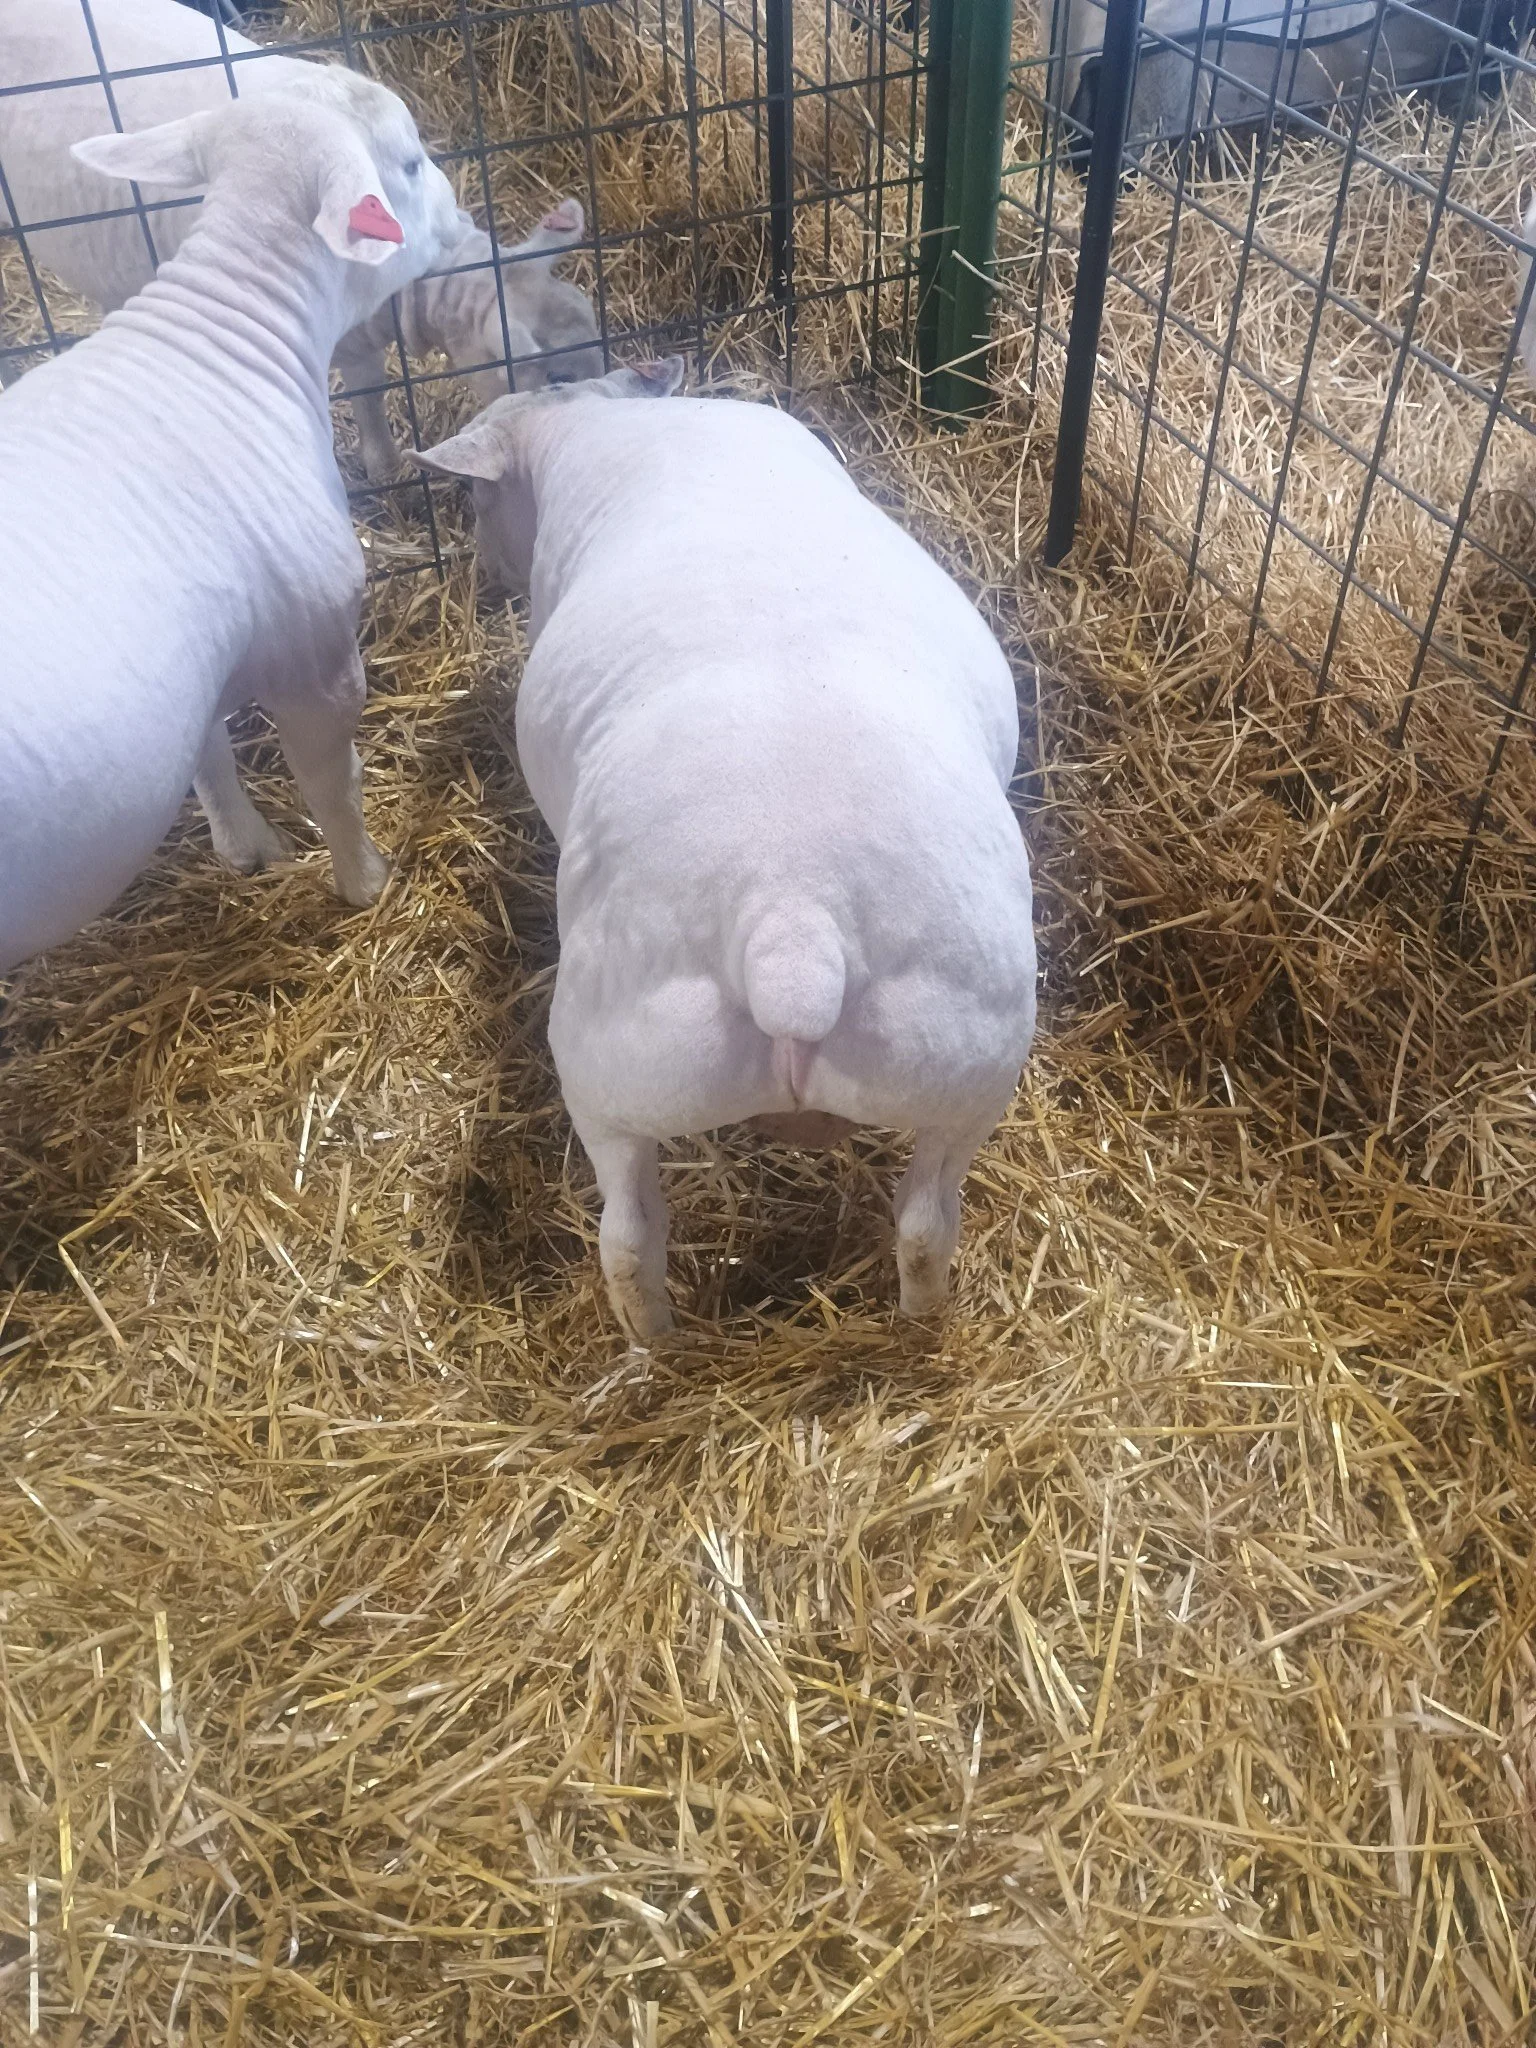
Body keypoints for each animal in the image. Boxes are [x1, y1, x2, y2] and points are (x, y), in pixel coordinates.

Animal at [0, 73, 463, 972]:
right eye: (411, 163)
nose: (462, 218)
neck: (226, 324)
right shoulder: (317, 656)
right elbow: (331, 784)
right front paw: (365, 879)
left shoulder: (197, 666)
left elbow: (209, 752)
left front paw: (246, 846)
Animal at [417, 371, 1038, 1339]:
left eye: (480, 499)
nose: (486, 569)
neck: (598, 422)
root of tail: (793, 922)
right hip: (966, 1064)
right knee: (927, 1227)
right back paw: (918, 1325)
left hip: (611, 1073)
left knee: (628, 1242)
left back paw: (652, 1349)